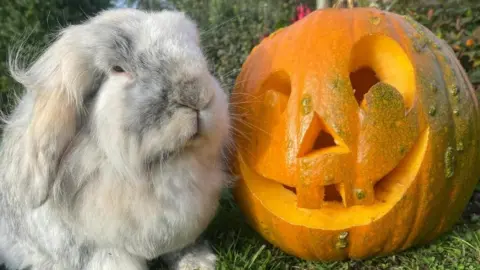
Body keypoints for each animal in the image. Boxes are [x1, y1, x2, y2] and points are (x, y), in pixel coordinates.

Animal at [0, 6, 232, 270]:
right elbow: (112, 259)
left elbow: (182, 247)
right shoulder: (98, 249)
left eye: (197, 53)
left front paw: (199, 262)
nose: (197, 95)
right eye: (119, 69)